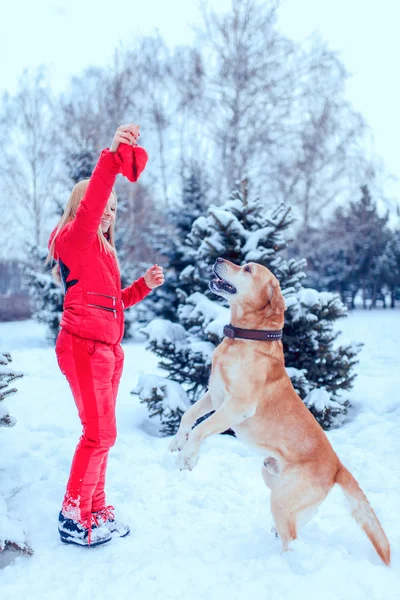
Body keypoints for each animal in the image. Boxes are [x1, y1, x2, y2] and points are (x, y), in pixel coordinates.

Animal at [169, 255, 390, 564]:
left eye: (248, 269)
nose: (218, 258)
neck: (245, 338)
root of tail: (337, 465)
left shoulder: (237, 405)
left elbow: (201, 429)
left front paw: (187, 458)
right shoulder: (215, 395)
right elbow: (188, 415)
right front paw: (178, 442)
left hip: (282, 497)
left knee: (292, 538)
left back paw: (287, 562)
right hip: (271, 477)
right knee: (303, 517)